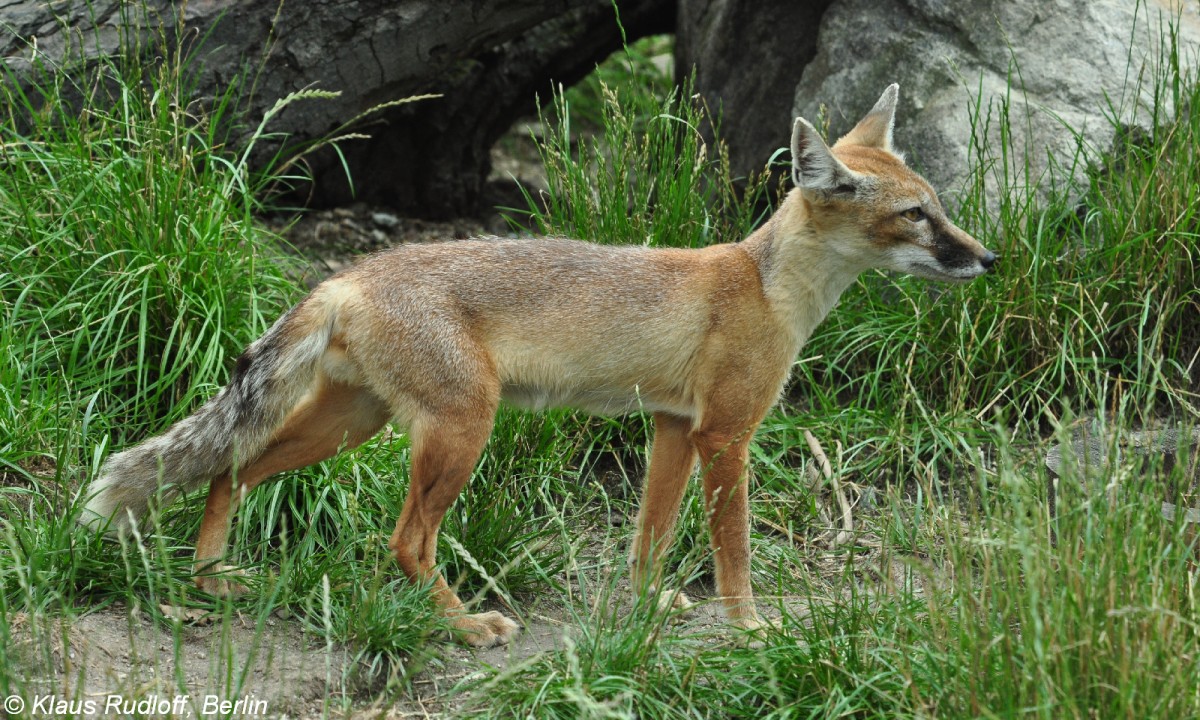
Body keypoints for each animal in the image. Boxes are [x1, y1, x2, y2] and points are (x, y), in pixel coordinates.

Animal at [84, 84, 998, 648]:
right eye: (916, 217)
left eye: (939, 207)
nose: (987, 259)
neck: (764, 284)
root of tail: (349, 275)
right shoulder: (727, 436)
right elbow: (732, 551)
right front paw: (748, 627)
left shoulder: (674, 427)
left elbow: (648, 540)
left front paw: (646, 608)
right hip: (459, 431)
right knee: (403, 540)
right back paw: (463, 627)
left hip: (353, 426)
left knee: (228, 469)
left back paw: (212, 581)